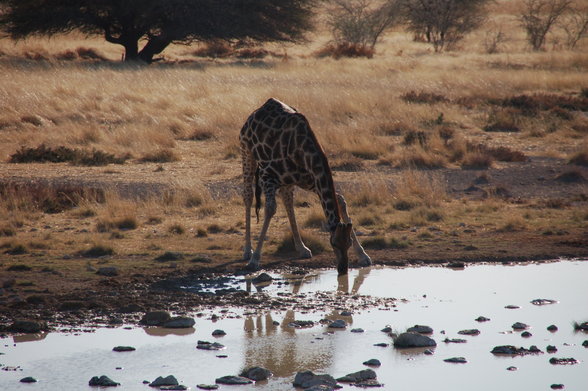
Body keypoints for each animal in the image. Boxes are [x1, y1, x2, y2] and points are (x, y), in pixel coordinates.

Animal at [238, 98, 368, 276]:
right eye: (333, 243)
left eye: (348, 243)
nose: (342, 270)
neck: (304, 152)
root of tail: (256, 111)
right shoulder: (267, 176)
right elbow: (270, 209)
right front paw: (254, 260)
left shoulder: (311, 180)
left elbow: (341, 200)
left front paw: (363, 255)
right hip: (247, 153)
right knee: (248, 196)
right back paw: (247, 251)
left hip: (290, 181)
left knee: (287, 200)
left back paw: (302, 248)